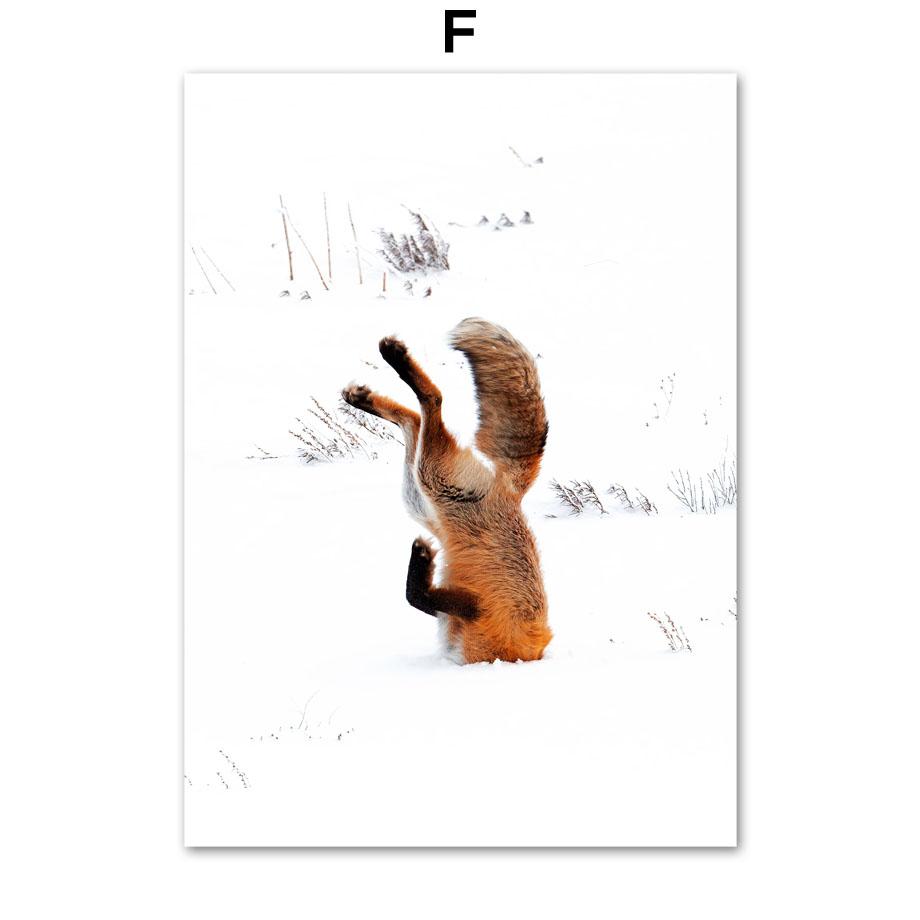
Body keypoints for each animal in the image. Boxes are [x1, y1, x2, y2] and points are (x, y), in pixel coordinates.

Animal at [342, 318, 552, 665]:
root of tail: (512, 490)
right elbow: (416, 597)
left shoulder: (475, 612)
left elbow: (416, 596)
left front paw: (421, 556)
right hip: (424, 491)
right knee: (418, 415)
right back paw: (369, 390)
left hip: (432, 483)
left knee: (428, 405)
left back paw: (389, 366)